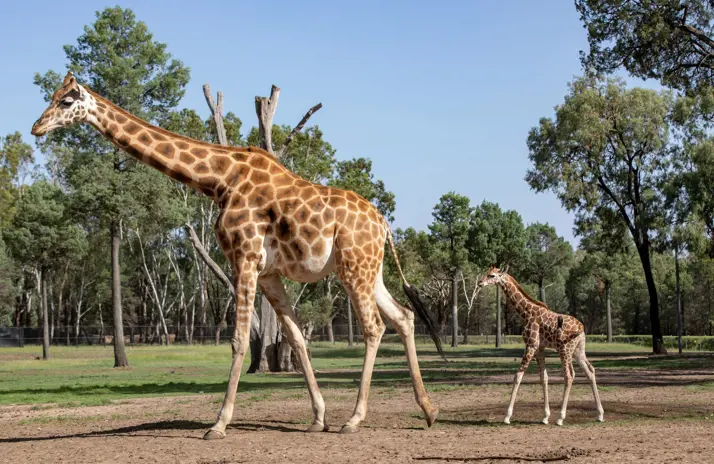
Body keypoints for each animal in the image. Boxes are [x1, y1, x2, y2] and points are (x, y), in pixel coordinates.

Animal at [31, 72, 444, 439]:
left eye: (66, 101)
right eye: (50, 96)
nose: (37, 127)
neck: (218, 180)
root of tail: (383, 223)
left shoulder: (244, 258)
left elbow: (240, 340)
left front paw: (218, 424)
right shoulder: (268, 272)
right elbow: (295, 337)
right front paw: (317, 418)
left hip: (354, 267)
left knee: (374, 326)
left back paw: (355, 419)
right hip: (368, 268)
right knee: (404, 317)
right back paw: (428, 410)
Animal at [477, 265, 604, 426]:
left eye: (492, 275)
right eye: (487, 273)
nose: (480, 282)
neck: (526, 313)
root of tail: (581, 328)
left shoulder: (531, 345)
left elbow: (518, 376)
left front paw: (507, 416)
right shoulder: (540, 348)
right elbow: (544, 378)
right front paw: (545, 416)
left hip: (564, 349)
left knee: (569, 375)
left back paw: (561, 418)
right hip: (578, 350)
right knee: (590, 371)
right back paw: (600, 414)